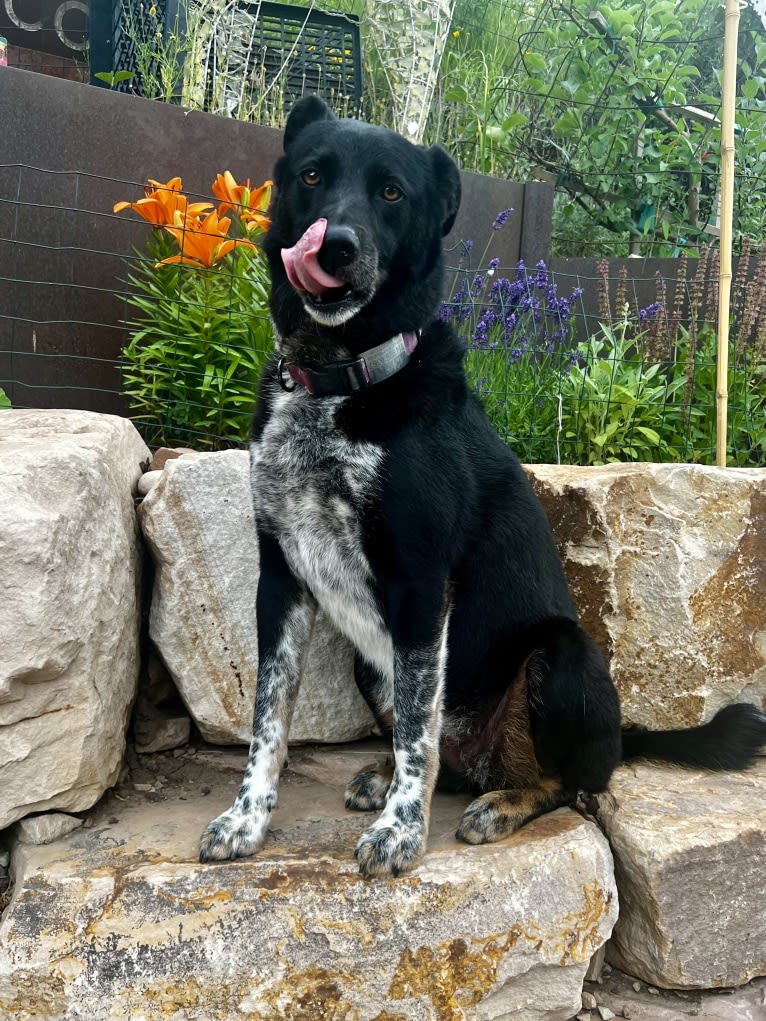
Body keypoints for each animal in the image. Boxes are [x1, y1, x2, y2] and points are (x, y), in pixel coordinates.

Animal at [201, 97, 766, 878]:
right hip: (369, 665)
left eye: (391, 193)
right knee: (455, 757)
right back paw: (392, 775)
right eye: (312, 175)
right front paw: (246, 819)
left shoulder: (418, 582)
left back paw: (501, 803)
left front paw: (400, 833)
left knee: (569, 781)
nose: (335, 246)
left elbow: (417, 729)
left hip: (560, 658)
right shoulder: (281, 578)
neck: (342, 379)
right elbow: (270, 717)